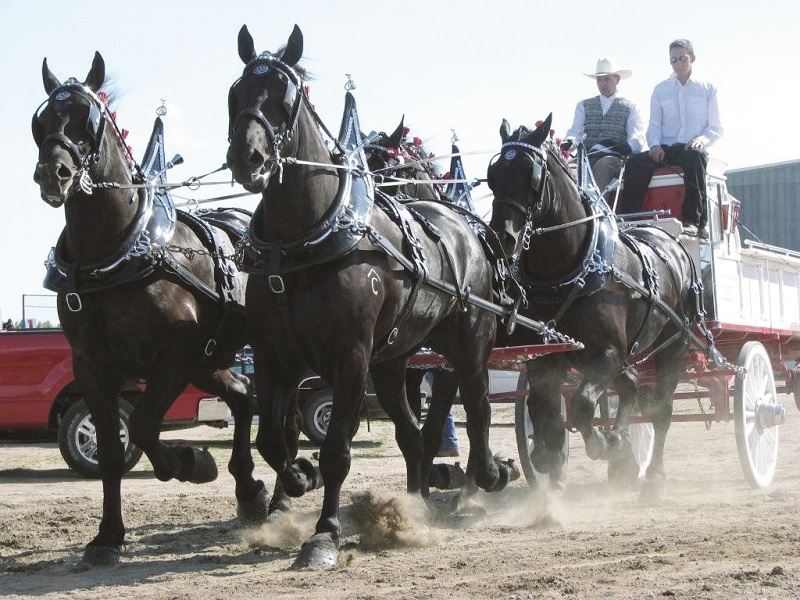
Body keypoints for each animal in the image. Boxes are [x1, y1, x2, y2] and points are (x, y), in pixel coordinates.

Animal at [31, 53, 269, 566]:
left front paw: (192, 462)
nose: (53, 174)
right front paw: (107, 536)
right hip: (209, 359)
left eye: (87, 119)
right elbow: (111, 447)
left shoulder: (173, 356)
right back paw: (251, 490)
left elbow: (141, 425)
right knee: (244, 396)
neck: (116, 253)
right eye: (40, 122)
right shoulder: (92, 367)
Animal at [226, 24, 513, 569]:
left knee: (479, 405)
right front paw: (298, 478)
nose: (247, 158)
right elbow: (273, 439)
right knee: (412, 436)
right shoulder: (275, 358)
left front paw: (324, 534)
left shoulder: (349, 359)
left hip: (467, 342)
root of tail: (468, 229)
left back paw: (490, 473)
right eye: (235, 92)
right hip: (392, 361)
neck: (302, 244)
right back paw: (417, 504)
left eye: (286, 97)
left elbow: (337, 451)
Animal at [487, 115, 702, 490]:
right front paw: (549, 459)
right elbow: (546, 415)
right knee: (631, 385)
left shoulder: (607, 353)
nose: (501, 236)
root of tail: (671, 239)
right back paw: (625, 457)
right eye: (494, 173)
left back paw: (652, 473)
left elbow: (582, 406)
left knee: (661, 408)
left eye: (532, 174)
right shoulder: (545, 360)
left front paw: (605, 444)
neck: (567, 272)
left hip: (673, 345)